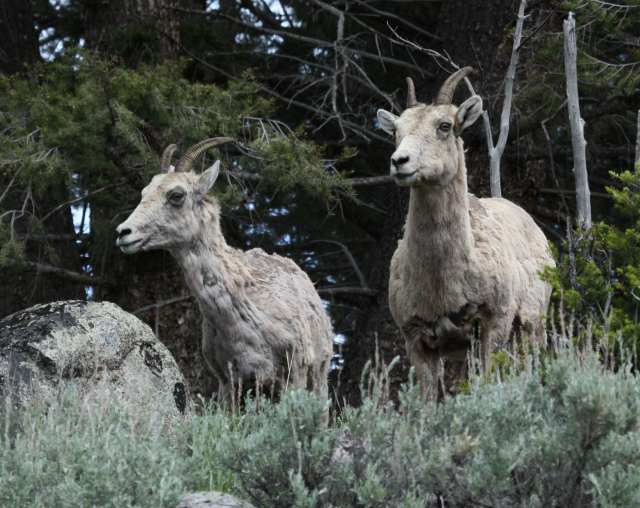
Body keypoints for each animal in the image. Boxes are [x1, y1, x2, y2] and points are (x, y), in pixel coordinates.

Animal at [116, 138, 334, 402]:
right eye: (144, 192)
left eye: (177, 194)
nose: (124, 233)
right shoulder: (228, 381)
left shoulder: (295, 374)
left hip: (319, 378)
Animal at [376, 68, 555, 398]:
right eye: (396, 130)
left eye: (445, 126)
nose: (399, 162)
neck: (444, 285)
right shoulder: (416, 339)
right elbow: (428, 399)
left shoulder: (494, 323)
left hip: (532, 326)